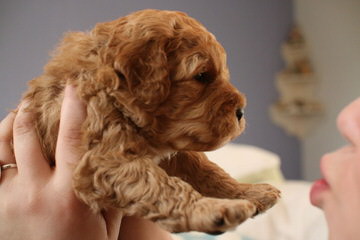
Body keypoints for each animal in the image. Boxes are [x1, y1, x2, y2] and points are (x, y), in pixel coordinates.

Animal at [21, 9, 282, 234]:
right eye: (201, 76)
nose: (241, 111)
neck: (111, 90)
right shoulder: (105, 159)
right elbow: (164, 186)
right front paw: (215, 209)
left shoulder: (171, 151)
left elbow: (207, 169)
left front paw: (248, 192)